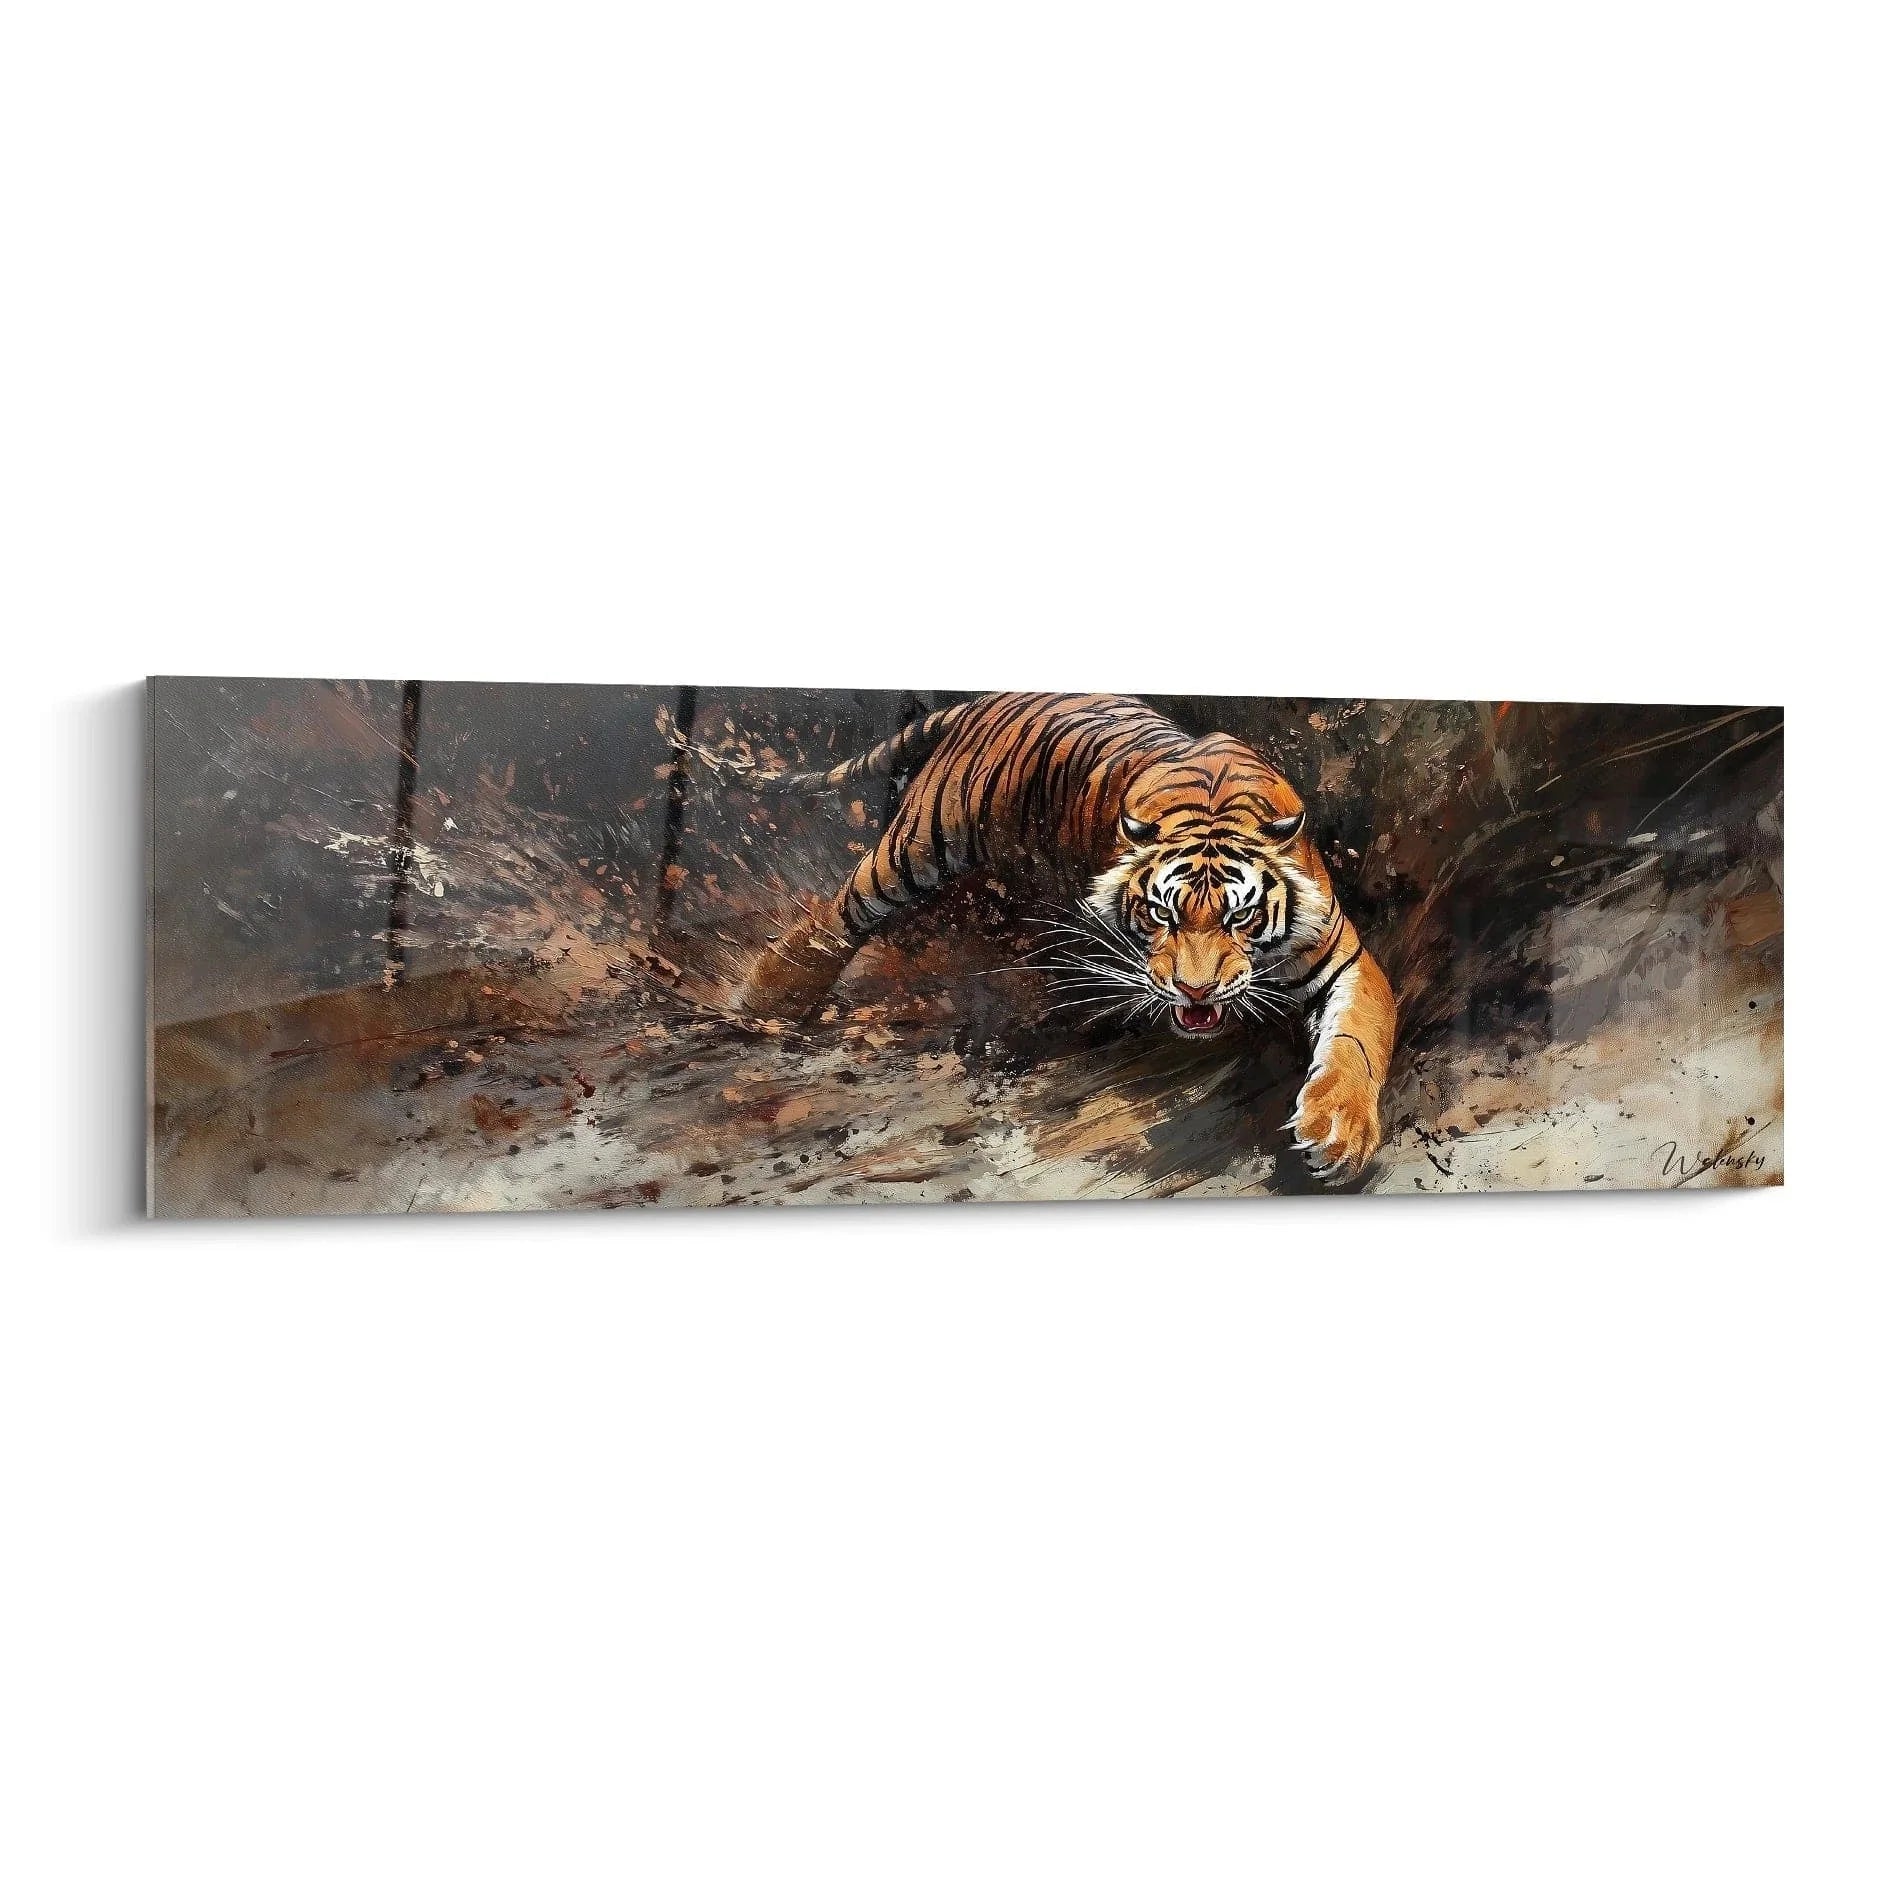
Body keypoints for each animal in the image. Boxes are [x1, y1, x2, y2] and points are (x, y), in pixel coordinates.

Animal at [711, 691, 1397, 1180]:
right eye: (1162, 915)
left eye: (1239, 917)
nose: (1196, 992)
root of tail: (989, 700)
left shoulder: (1345, 958)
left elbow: (1359, 1038)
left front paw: (1338, 1134)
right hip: (916, 845)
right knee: (837, 918)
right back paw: (762, 1002)